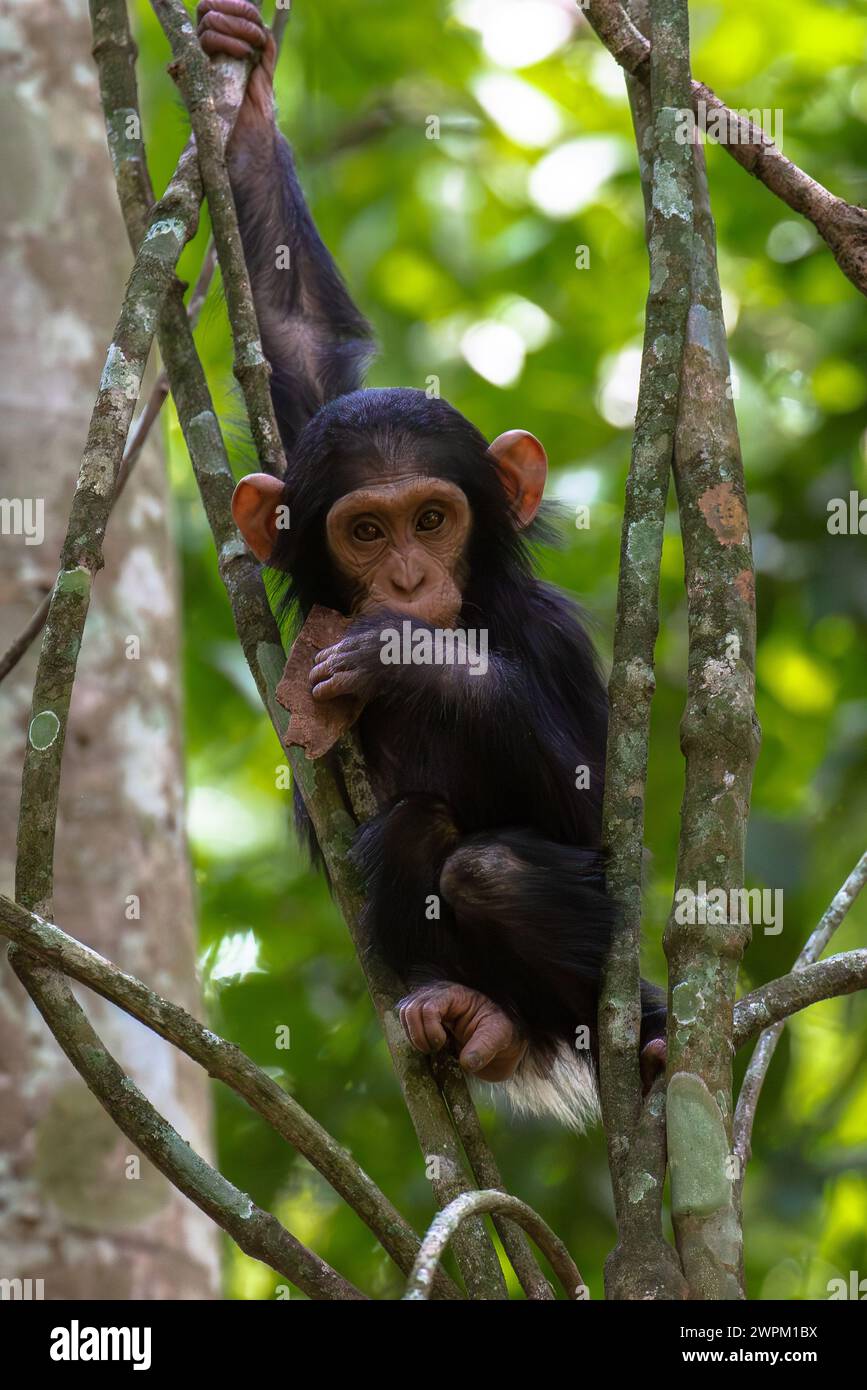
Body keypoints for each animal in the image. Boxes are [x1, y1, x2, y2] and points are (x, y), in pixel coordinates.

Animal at [195, 0, 666, 1123]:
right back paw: (462, 1009)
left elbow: (596, 803)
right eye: (367, 531)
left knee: (483, 868)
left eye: (433, 518)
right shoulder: (304, 422)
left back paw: (644, 1040)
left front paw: (407, 658)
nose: (409, 580)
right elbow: (295, 333)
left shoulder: (550, 636)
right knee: (415, 834)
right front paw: (247, 100)